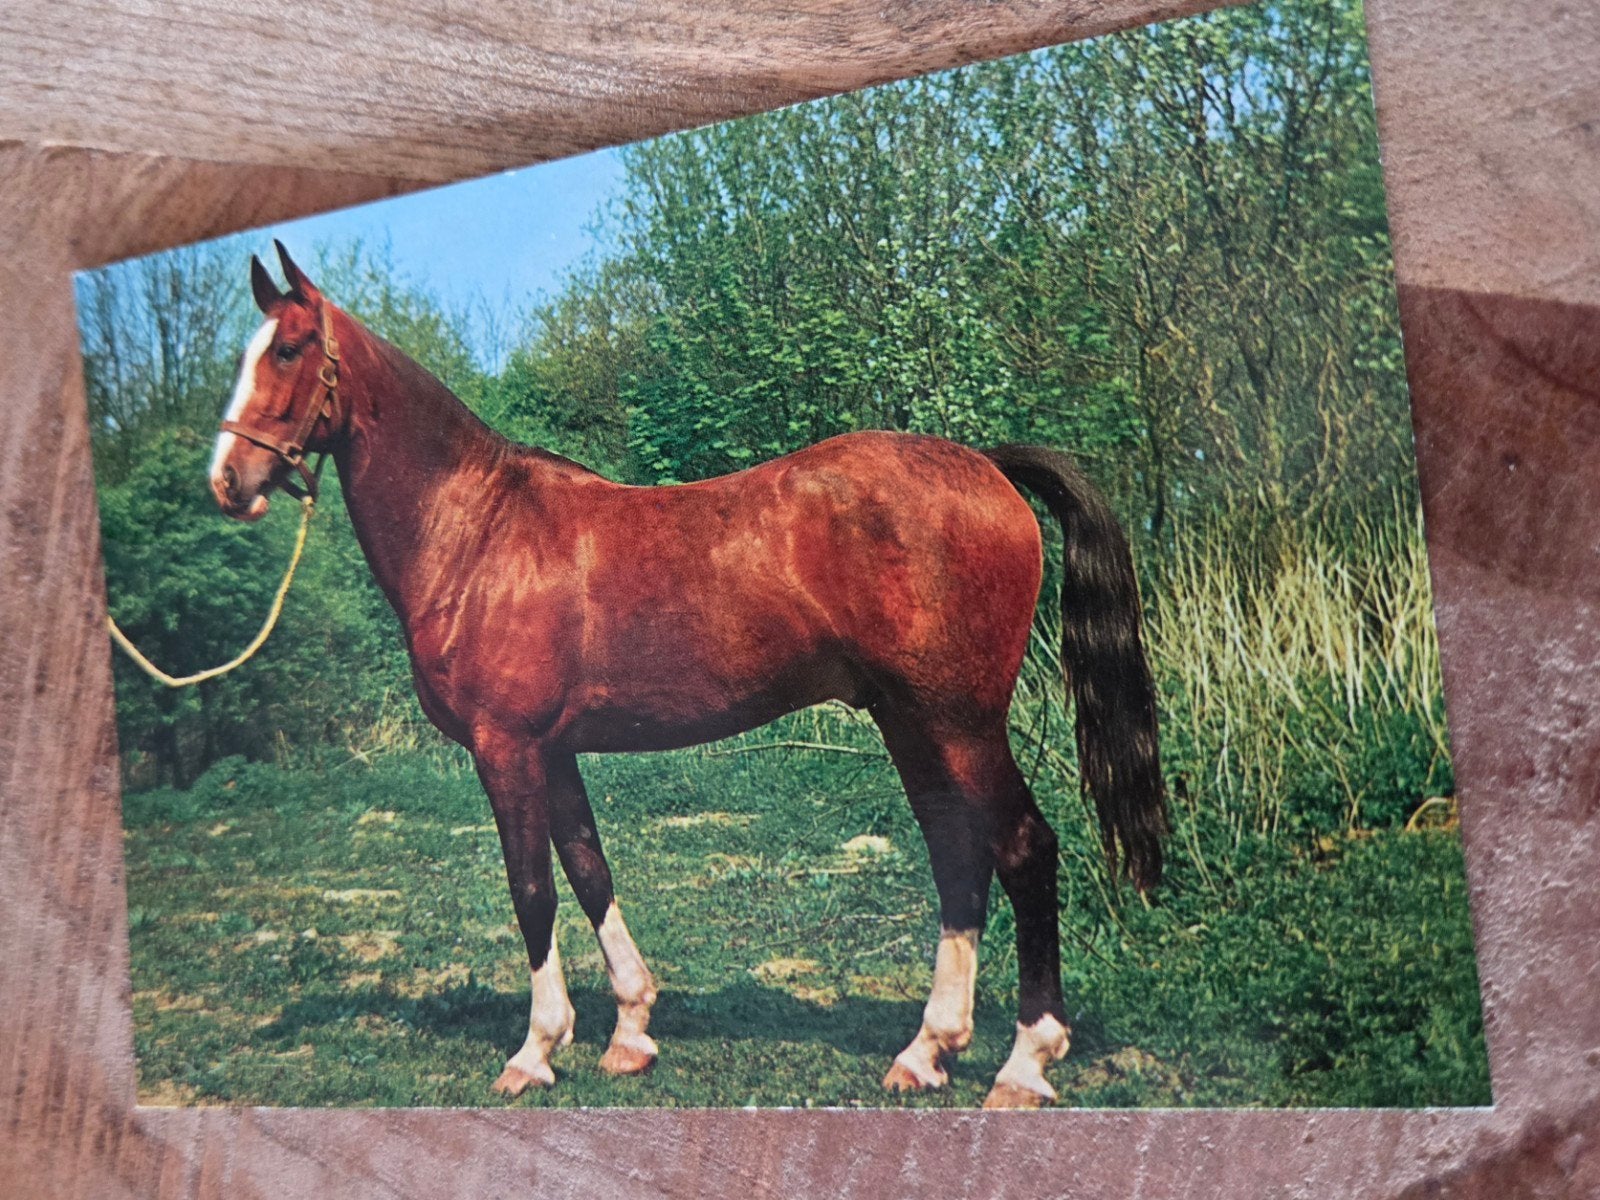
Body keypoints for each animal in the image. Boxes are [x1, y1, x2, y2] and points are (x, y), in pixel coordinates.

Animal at [209, 243, 1166, 1108]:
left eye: (288, 349)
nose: (228, 479)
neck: (478, 531)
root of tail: (988, 467)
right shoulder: (553, 751)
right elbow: (589, 871)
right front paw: (630, 1031)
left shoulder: (504, 748)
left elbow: (531, 890)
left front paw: (534, 1051)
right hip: (911, 721)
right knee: (956, 855)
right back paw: (926, 1050)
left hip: (959, 721)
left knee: (1023, 849)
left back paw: (1025, 1064)